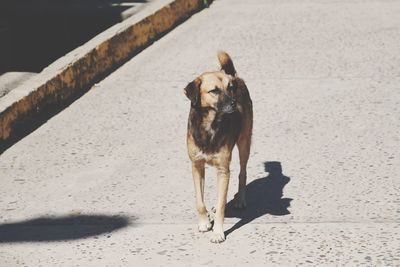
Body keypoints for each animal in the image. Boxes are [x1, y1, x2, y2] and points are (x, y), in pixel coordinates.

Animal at [184, 51, 253, 244]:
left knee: (242, 172)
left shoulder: (223, 170)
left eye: (230, 88)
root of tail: (236, 77)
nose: (234, 102)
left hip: (245, 143)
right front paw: (204, 222)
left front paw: (218, 232)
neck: (210, 125)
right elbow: (200, 202)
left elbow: (222, 204)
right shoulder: (196, 166)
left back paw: (240, 200)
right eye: (214, 90)